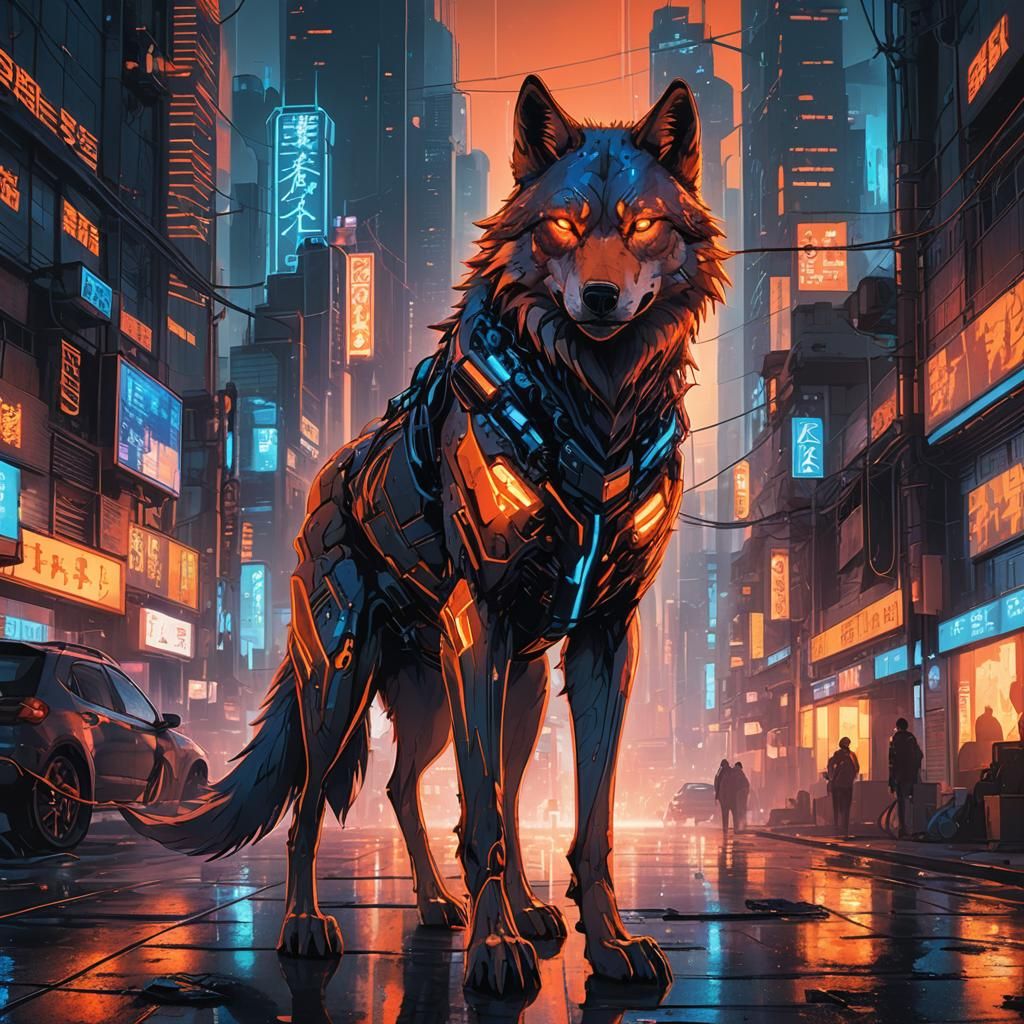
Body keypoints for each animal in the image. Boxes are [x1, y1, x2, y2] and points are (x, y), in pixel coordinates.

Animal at [123, 75, 728, 995]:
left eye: (641, 225)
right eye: (562, 226)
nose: (598, 299)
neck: (591, 404)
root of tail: (319, 484)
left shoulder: (603, 638)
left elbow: (582, 821)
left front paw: (610, 942)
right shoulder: (479, 620)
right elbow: (481, 820)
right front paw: (495, 949)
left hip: (498, 689)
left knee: (422, 788)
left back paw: (471, 905)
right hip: (343, 680)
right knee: (317, 808)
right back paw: (309, 925)